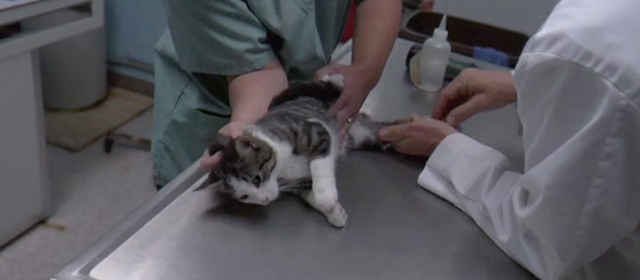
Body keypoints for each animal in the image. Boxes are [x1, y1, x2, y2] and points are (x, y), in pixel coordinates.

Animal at [200, 74, 388, 228]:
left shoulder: (314, 131)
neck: (282, 167)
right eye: (244, 196)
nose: (265, 201)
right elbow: (308, 195)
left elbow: (320, 163)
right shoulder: (298, 182)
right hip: (365, 137)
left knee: (328, 87)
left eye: (257, 178)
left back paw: (335, 79)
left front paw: (325, 196)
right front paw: (335, 213)